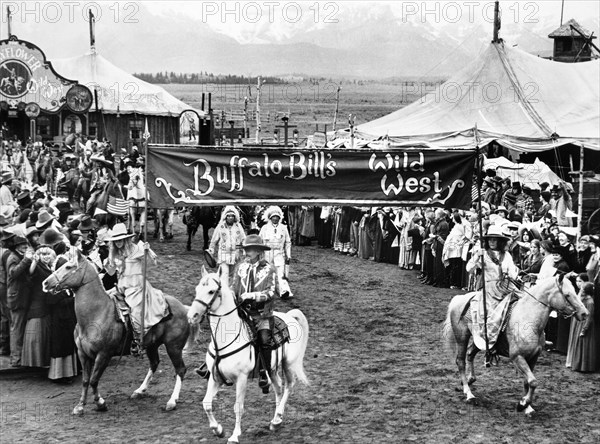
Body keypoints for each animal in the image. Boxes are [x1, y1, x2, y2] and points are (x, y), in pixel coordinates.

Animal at [43, 251, 190, 414]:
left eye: (69, 267)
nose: (46, 283)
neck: (96, 314)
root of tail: (183, 307)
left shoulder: (103, 355)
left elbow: (94, 380)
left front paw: (100, 403)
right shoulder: (83, 354)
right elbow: (86, 380)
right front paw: (80, 406)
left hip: (173, 347)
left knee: (180, 370)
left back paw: (172, 401)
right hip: (152, 345)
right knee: (154, 363)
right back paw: (139, 391)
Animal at [188, 266, 310, 442]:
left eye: (211, 291)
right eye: (197, 289)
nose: (192, 316)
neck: (224, 342)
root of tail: (289, 317)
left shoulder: (242, 378)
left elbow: (238, 407)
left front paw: (234, 435)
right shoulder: (215, 377)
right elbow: (206, 404)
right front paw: (218, 430)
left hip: (288, 363)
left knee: (289, 385)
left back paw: (278, 417)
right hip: (272, 369)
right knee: (278, 388)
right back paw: (275, 421)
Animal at [442, 274, 588, 416]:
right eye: (568, 295)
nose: (584, 313)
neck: (529, 320)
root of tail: (460, 298)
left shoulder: (533, 357)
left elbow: (528, 382)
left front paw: (528, 407)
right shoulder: (517, 357)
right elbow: (533, 381)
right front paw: (522, 404)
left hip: (480, 341)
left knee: (470, 354)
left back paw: (469, 380)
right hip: (462, 337)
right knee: (461, 361)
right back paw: (469, 394)